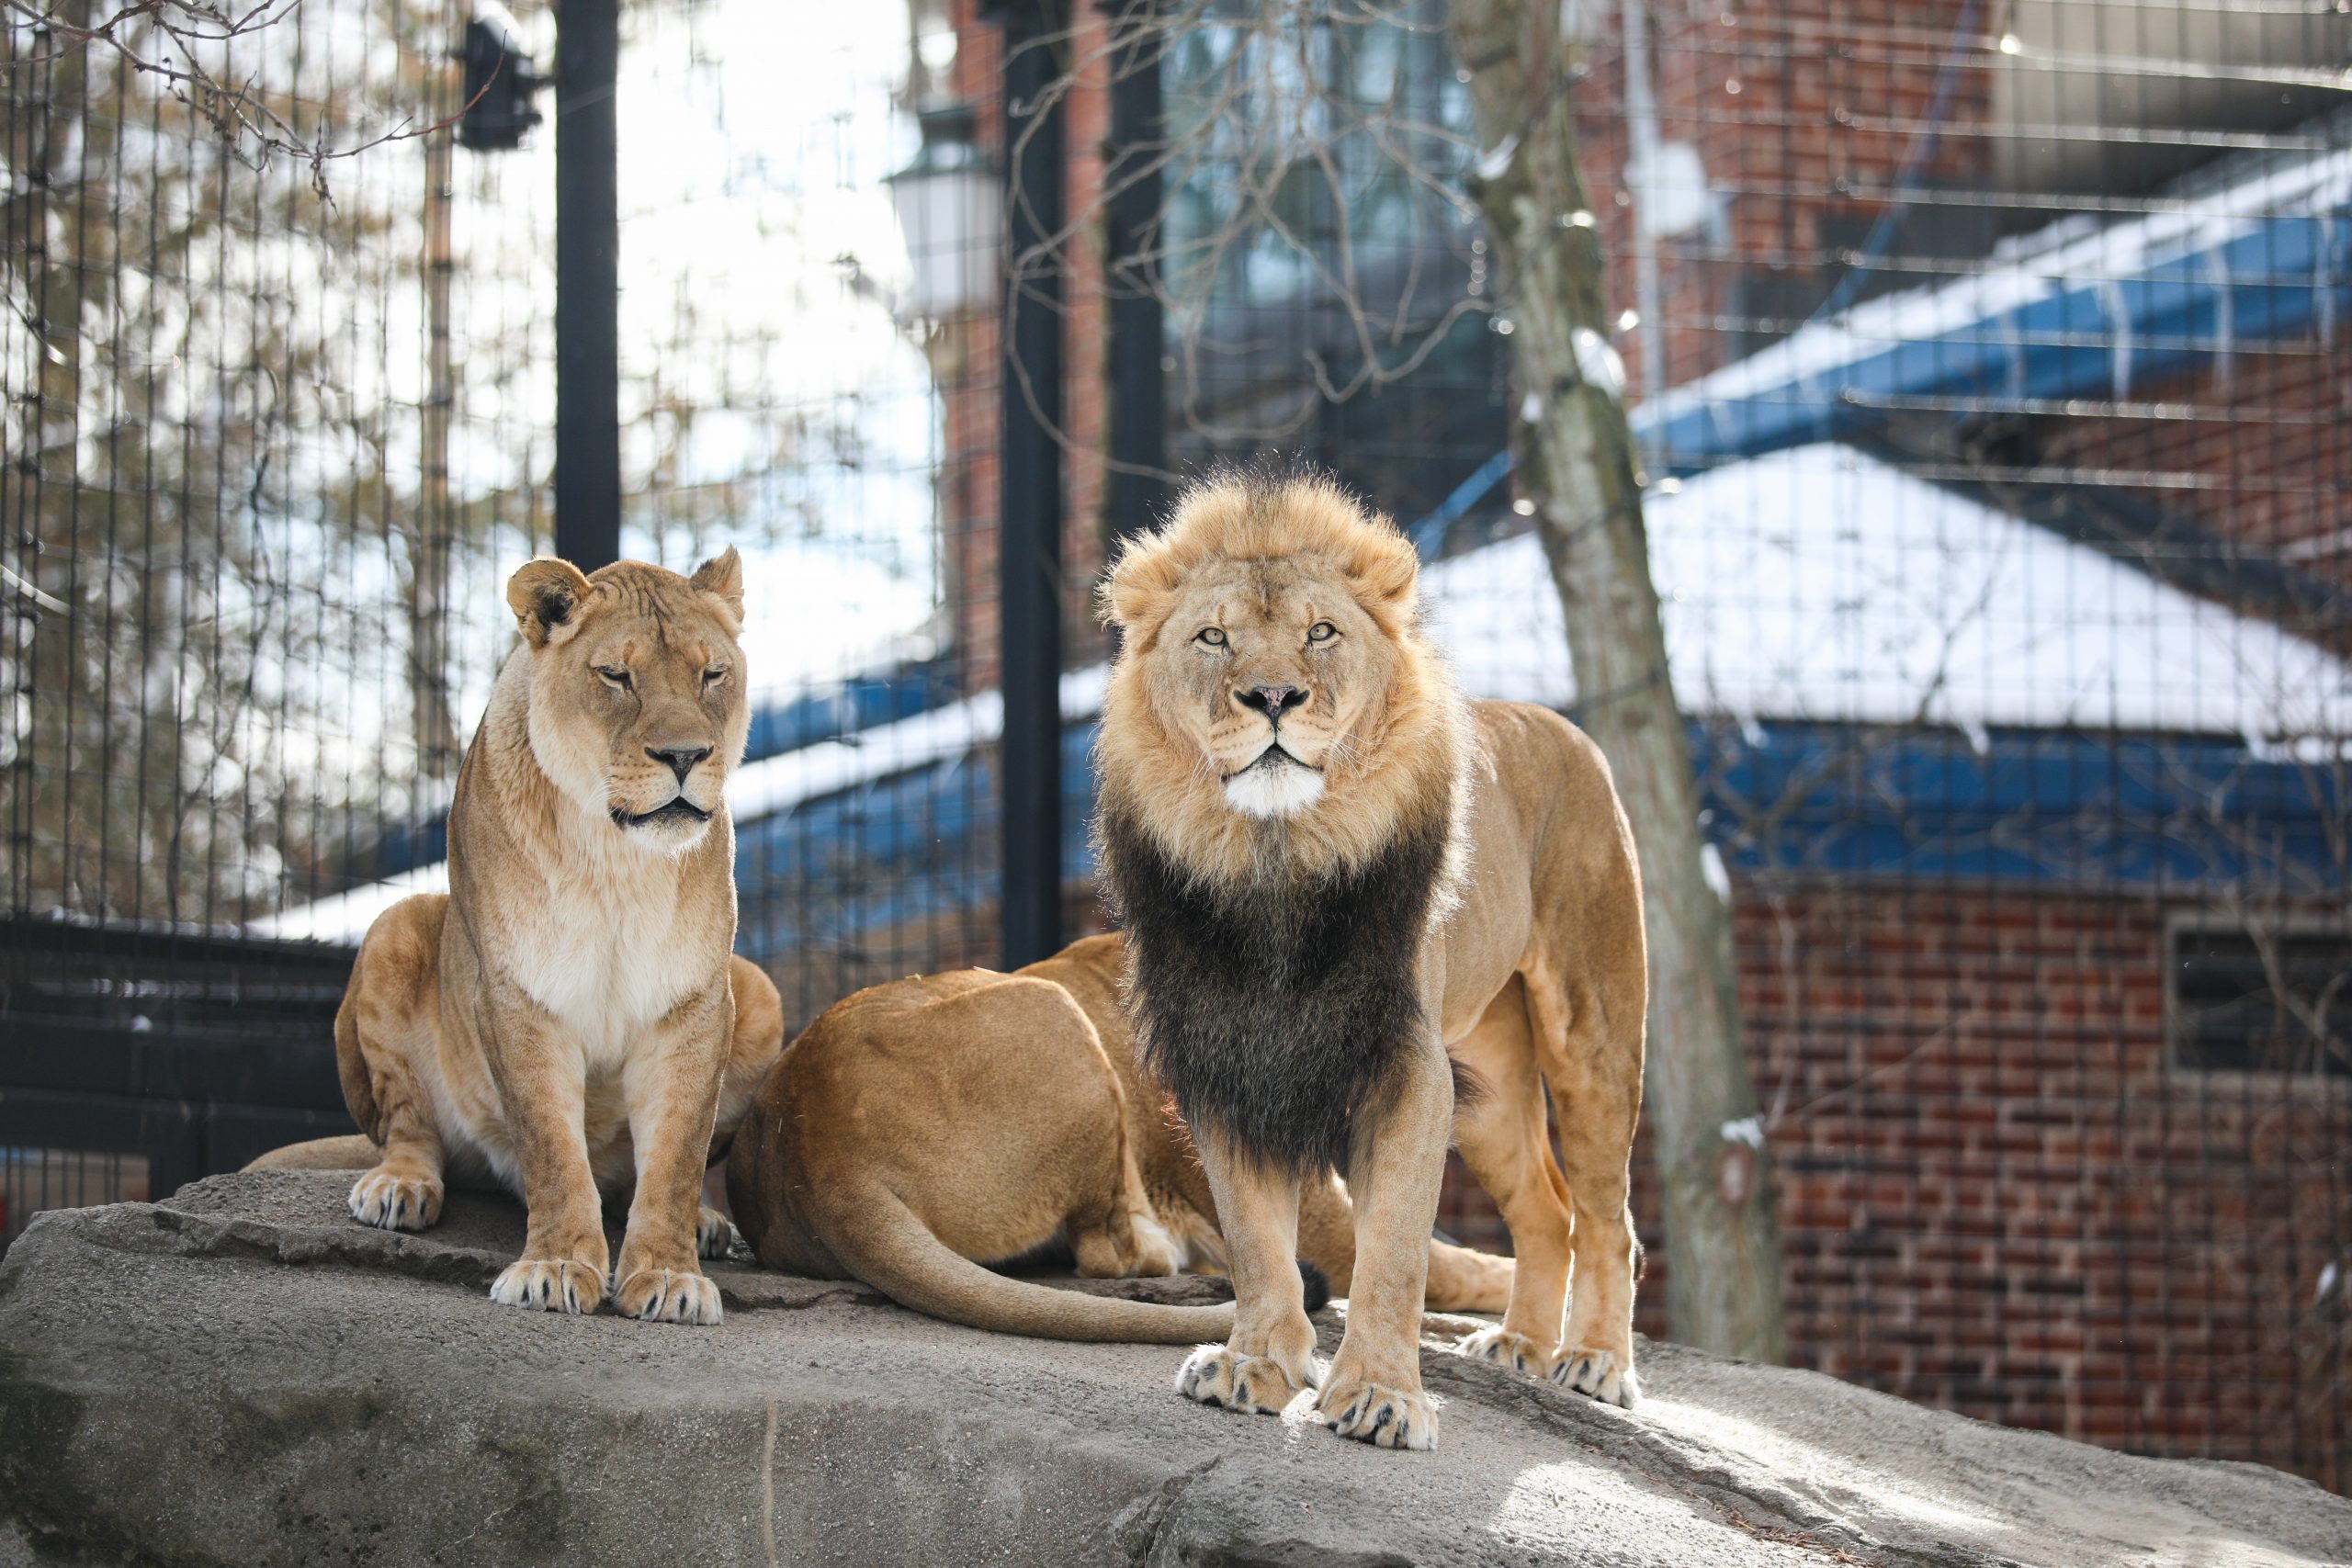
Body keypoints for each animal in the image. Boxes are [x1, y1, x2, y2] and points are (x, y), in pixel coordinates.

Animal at [1091, 472, 1646, 1457]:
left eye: (1321, 632)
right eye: (1213, 638)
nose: (1274, 695)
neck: (1276, 864)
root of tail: (1560, 723)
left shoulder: (1408, 1066)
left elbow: (1392, 1246)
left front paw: (1383, 1395)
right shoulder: (1226, 1061)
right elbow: (1256, 1238)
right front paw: (1256, 1362)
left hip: (1592, 1031)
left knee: (1606, 1215)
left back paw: (1595, 1361)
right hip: (1491, 1080)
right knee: (1546, 1211)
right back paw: (1520, 1344)